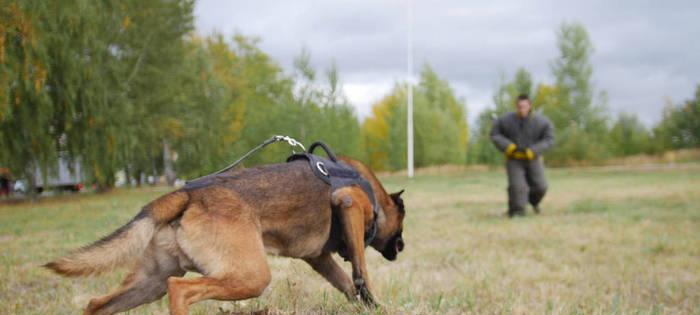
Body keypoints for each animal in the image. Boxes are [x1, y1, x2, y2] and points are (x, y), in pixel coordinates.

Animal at [45, 157, 404, 314]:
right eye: (401, 227)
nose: (400, 248)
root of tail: (187, 194)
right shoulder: (349, 204)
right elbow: (360, 268)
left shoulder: (318, 258)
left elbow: (347, 283)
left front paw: (370, 306)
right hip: (250, 275)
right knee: (180, 290)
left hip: (148, 284)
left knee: (96, 304)